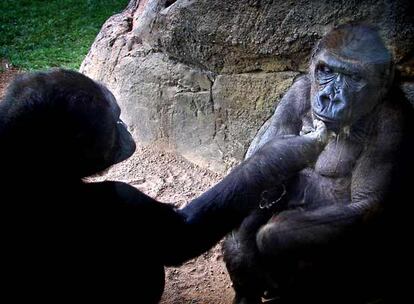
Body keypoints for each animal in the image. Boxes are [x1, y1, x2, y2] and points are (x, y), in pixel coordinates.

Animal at [222, 23, 414, 304]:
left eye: (354, 77)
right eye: (326, 70)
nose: (329, 97)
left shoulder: (392, 119)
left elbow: (365, 204)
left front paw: (271, 237)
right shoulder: (296, 92)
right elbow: (257, 168)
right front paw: (242, 261)